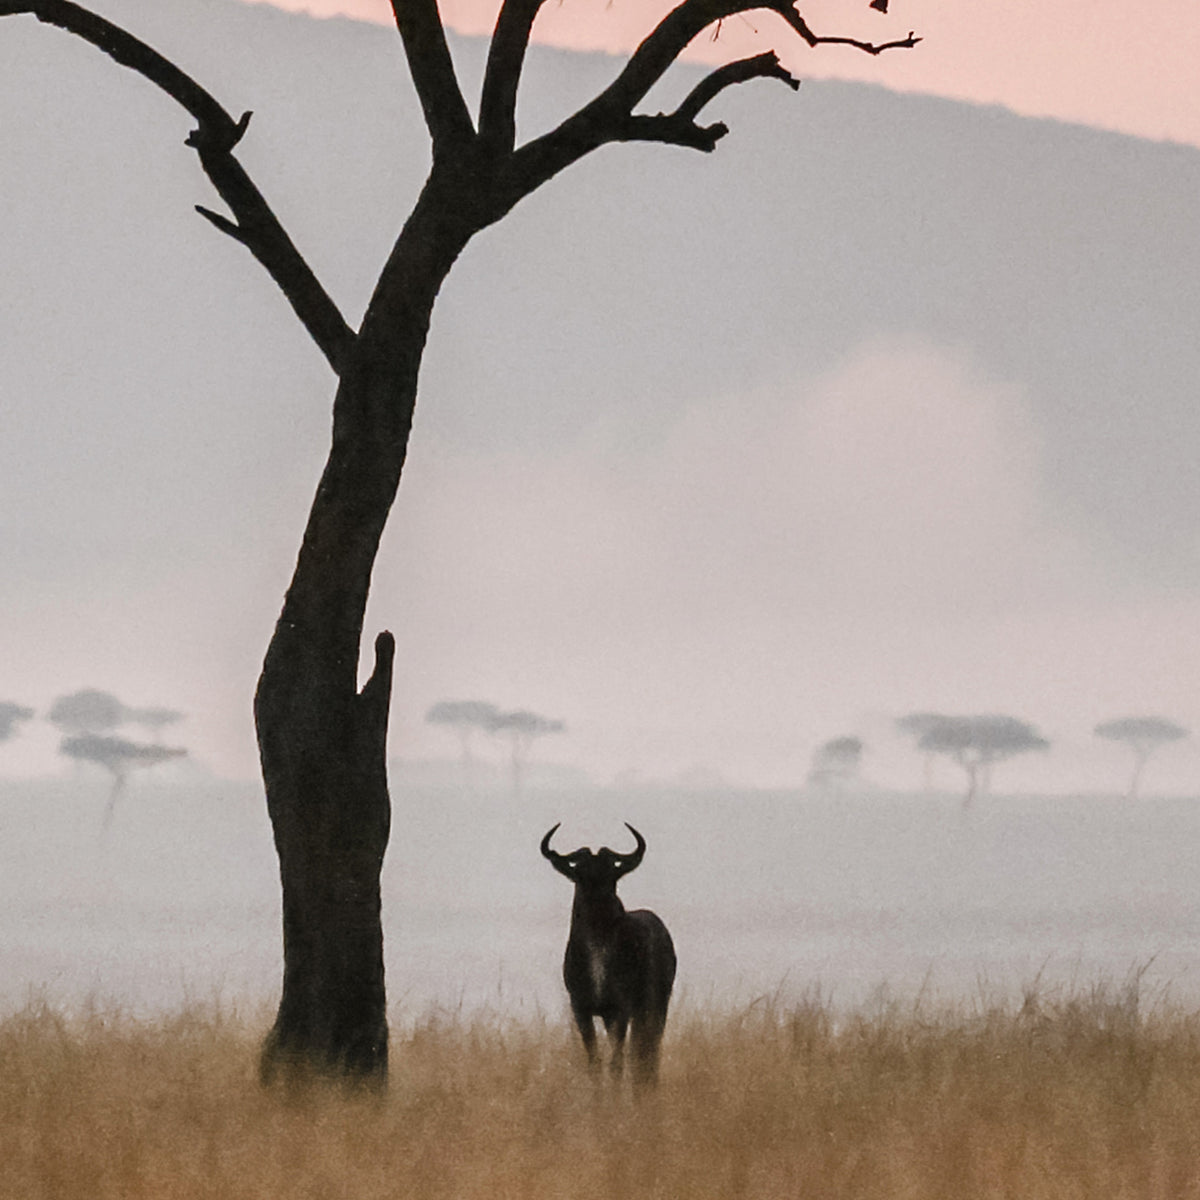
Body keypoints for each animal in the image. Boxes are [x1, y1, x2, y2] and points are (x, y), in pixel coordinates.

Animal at [541, 822, 676, 1088]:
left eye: (611, 873)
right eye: (580, 873)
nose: (600, 901)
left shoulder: (620, 1008)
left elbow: (616, 1062)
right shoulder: (581, 1008)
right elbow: (594, 1062)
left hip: (656, 1004)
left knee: (648, 1050)